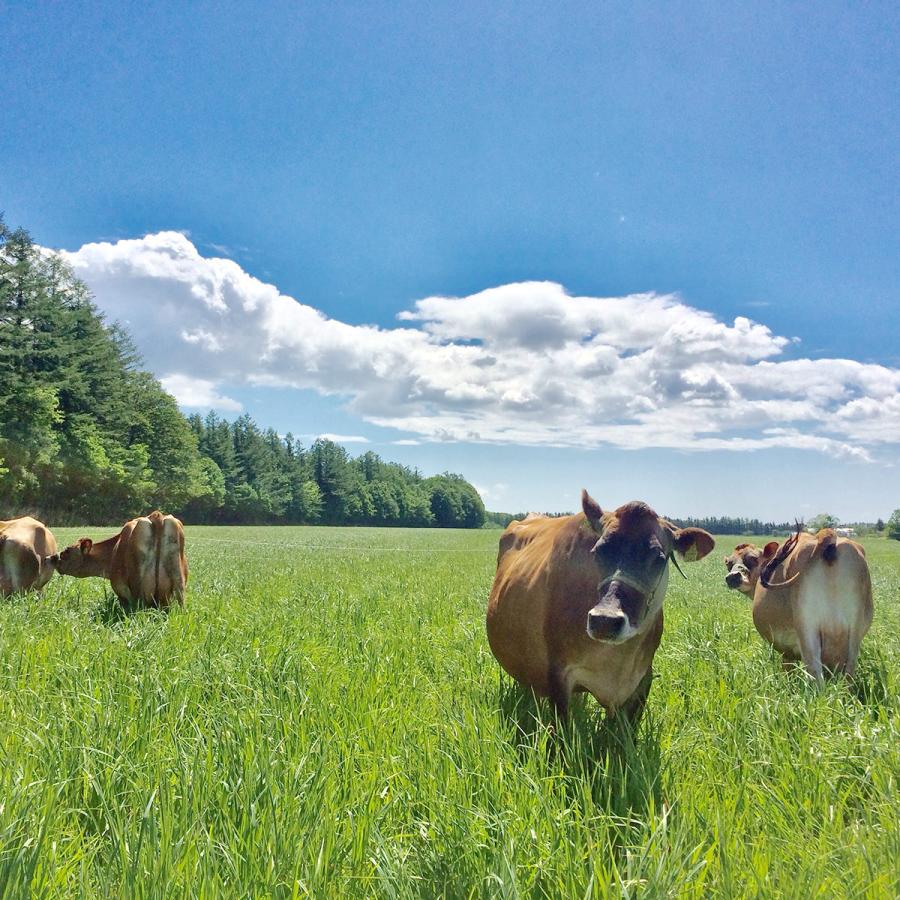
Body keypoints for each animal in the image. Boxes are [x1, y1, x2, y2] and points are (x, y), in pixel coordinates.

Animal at [48, 510, 188, 608]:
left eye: (67, 551)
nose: (51, 557)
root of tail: (156, 516)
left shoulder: (121, 589)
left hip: (138, 589)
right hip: (179, 586)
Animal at [488, 488, 712, 720]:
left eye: (659, 558)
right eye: (598, 551)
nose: (605, 620)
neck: (618, 660)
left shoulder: (642, 681)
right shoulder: (558, 676)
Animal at [724, 528, 872, 684]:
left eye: (753, 558)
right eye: (729, 564)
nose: (733, 576)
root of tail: (825, 534)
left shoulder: (787, 651)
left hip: (807, 631)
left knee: (815, 675)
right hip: (855, 633)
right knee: (848, 674)